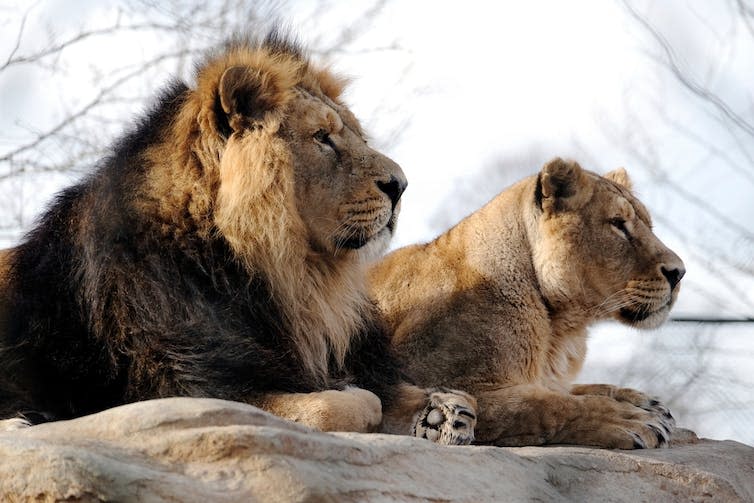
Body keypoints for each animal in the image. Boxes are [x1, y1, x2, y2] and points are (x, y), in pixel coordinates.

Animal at [0, 32, 472, 444]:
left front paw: (442, 412)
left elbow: (444, 395)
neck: (291, 276)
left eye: (358, 137)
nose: (401, 185)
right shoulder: (184, 389)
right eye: (323, 138)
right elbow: (340, 405)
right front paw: (357, 394)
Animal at [368, 158, 684, 448]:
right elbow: (546, 405)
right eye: (619, 224)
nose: (679, 272)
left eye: (649, 226)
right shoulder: (430, 377)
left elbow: (574, 390)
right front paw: (630, 418)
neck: (559, 328)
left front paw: (644, 401)